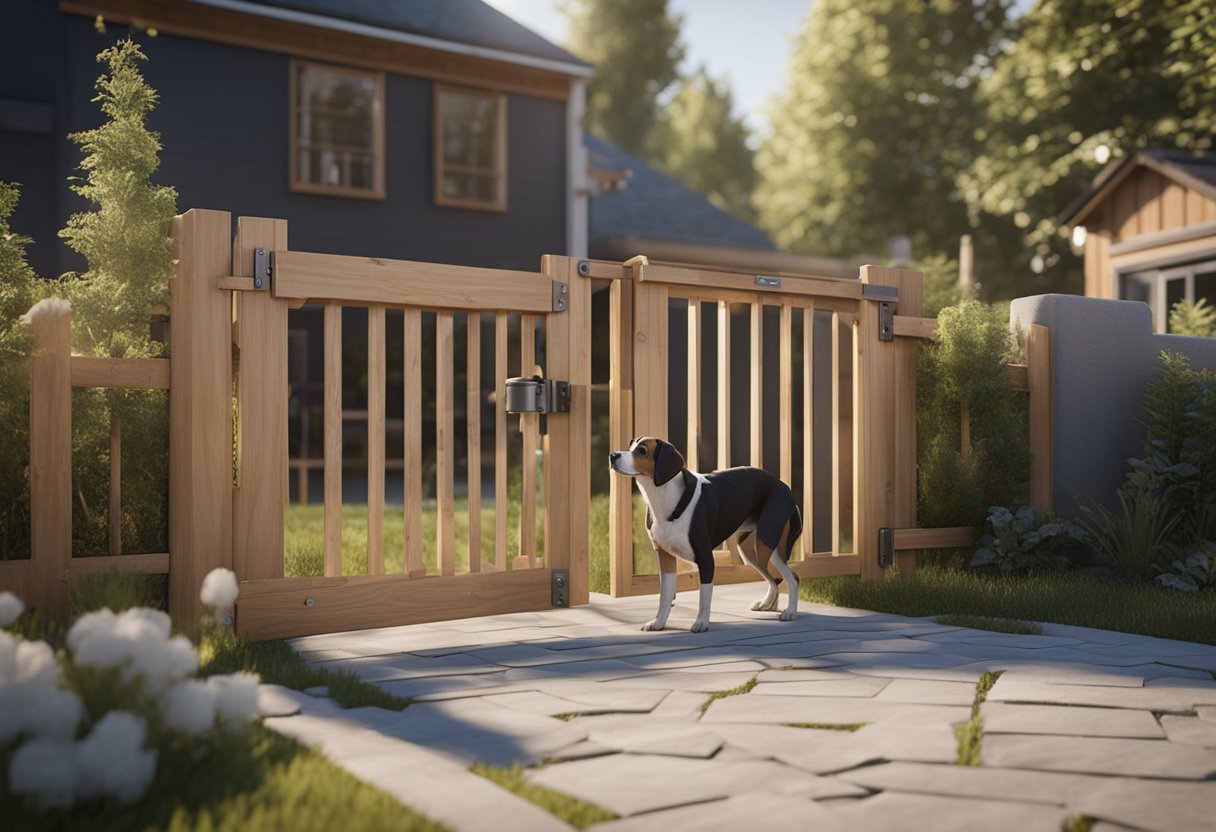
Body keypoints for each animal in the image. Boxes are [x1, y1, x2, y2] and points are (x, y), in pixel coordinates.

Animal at [612, 435, 802, 632]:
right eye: (630, 446)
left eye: (642, 451)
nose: (613, 455)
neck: (666, 499)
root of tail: (783, 486)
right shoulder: (665, 557)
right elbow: (665, 595)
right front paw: (658, 622)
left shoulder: (705, 558)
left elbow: (704, 595)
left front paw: (701, 622)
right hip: (751, 552)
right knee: (775, 578)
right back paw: (767, 604)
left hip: (766, 545)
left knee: (791, 577)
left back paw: (790, 612)